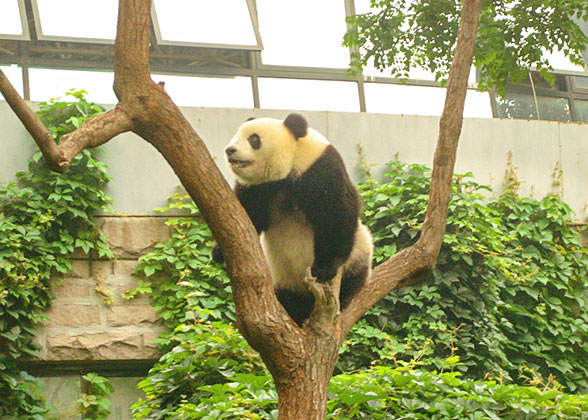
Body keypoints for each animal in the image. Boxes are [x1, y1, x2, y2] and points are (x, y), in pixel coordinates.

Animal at [216, 113, 372, 326]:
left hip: (360, 252)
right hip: (282, 277)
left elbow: (336, 213)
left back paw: (346, 296)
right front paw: (219, 252)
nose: (230, 150)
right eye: (237, 135)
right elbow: (248, 216)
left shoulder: (319, 168)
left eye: (254, 139)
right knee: (288, 298)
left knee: (355, 272)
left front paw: (324, 268)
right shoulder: (260, 188)